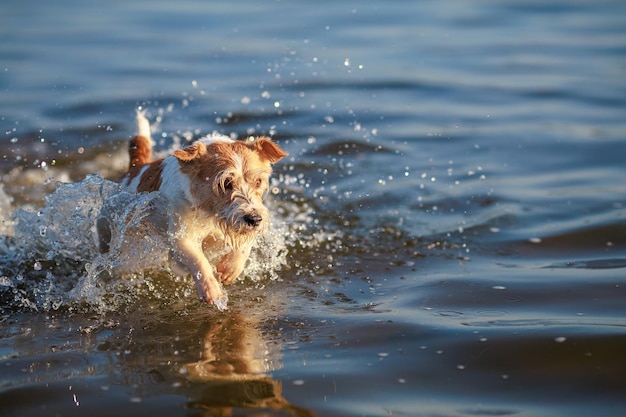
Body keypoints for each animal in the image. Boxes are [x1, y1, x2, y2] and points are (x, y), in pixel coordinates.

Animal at [117, 110, 288, 308]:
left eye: (258, 181)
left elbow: (245, 245)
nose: (254, 219)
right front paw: (212, 291)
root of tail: (136, 167)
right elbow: (198, 259)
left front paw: (230, 269)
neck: (209, 212)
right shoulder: (181, 237)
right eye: (226, 183)